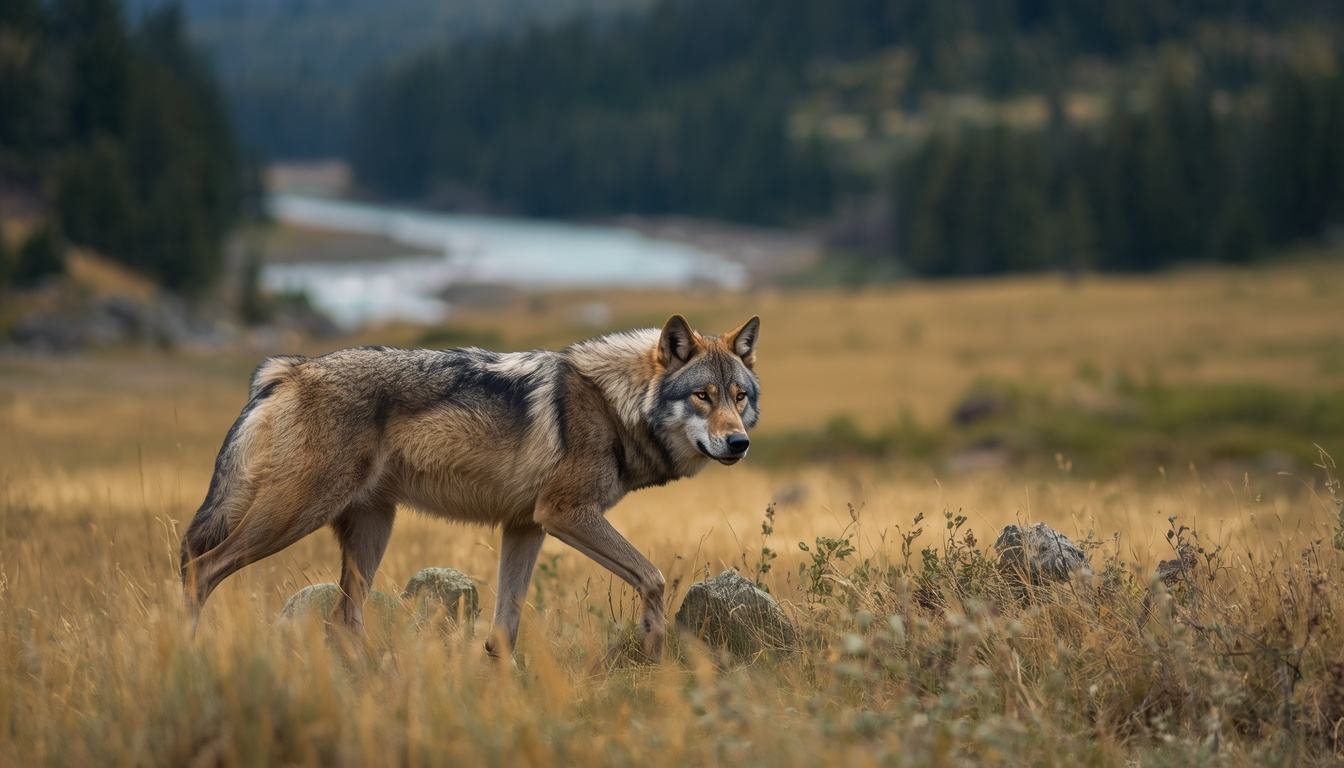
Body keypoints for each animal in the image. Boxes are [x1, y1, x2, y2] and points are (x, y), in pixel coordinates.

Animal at [180, 314, 760, 659]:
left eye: (739, 396)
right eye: (703, 396)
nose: (739, 443)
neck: (614, 404)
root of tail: (289, 368)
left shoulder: (526, 526)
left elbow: (504, 631)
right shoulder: (565, 514)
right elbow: (655, 578)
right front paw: (653, 652)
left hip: (370, 532)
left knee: (343, 619)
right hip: (294, 516)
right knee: (202, 568)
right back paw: (190, 650)